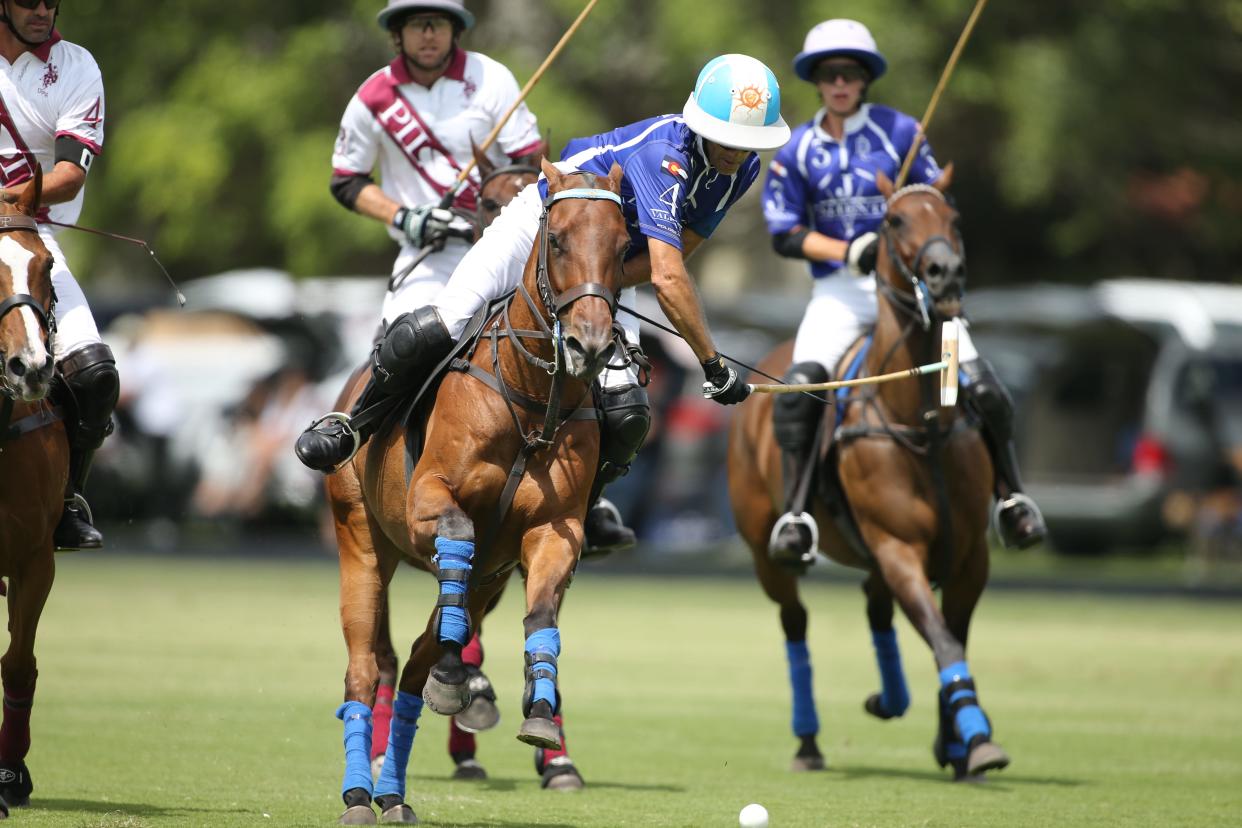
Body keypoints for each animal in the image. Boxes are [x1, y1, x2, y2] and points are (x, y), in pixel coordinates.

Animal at [325, 160, 630, 824]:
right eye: (557, 239)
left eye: (625, 248)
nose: (592, 344)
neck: (530, 402)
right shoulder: (429, 501)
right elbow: (457, 534)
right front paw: (463, 681)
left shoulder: (552, 533)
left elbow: (540, 615)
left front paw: (540, 720)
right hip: (361, 543)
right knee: (366, 667)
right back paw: (359, 795)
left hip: (488, 573)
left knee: (413, 667)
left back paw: (395, 792)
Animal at [725, 170, 1008, 784]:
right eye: (895, 221)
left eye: (953, 216)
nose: (945, 274)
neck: (922, 420)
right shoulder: (899, 547)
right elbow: (945, 641)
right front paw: (977, 740)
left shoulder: (969, 556)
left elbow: (952, 636)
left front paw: (957, 744)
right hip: (766, 551)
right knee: (796, 622)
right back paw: (808, 741)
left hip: (874, 554)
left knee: (875, 606)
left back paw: (889, 699)